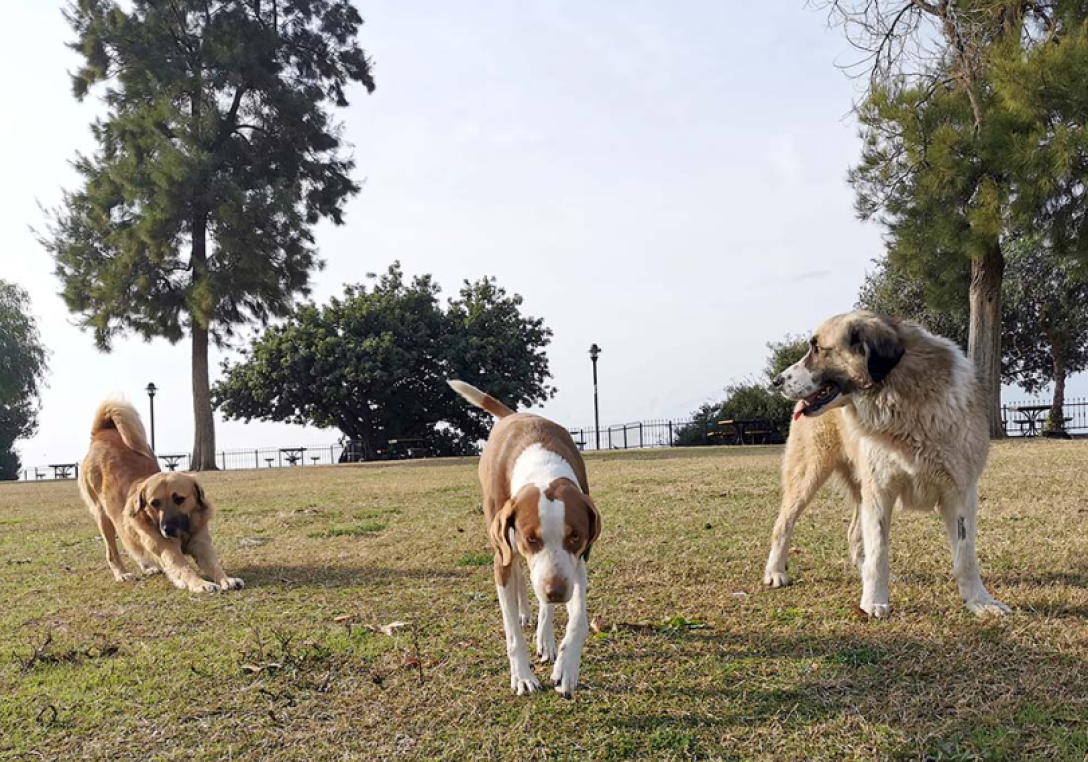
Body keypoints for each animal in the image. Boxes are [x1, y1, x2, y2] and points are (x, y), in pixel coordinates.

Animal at [77, 402, 243, 592]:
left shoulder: (201, 545)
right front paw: (200, 584)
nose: (167, 530)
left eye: (179, 499)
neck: (183, 531)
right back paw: (122, 573)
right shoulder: (168, 550)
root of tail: (101, 433)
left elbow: (214, 565)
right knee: (112, 551)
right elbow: (185, 569)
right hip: (103, 517)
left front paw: (227, 579)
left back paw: (147, 567)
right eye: (154, 503)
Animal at [450, 378, 604, 696]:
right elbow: (511, 632)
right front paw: (522, 675)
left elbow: (579, 619)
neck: (542, 465)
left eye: (576, 537)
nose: (555, 592)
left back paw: (545, 635)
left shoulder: (576, 562)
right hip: (505, 539)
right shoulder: (505, 551)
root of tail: (513, 414)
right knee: (518, 568)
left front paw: (566, 667)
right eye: (531, 538)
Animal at [765, 313, 1009, 618]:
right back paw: (775, 572)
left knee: (854, 535)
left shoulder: (961, 493)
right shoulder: (880, 491)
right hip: (808, 475)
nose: (776, 380)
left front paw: (979, 601)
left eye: (818, 349)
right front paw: (874, 601)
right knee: (783, 525)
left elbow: (965, 555)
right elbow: (879, 552)